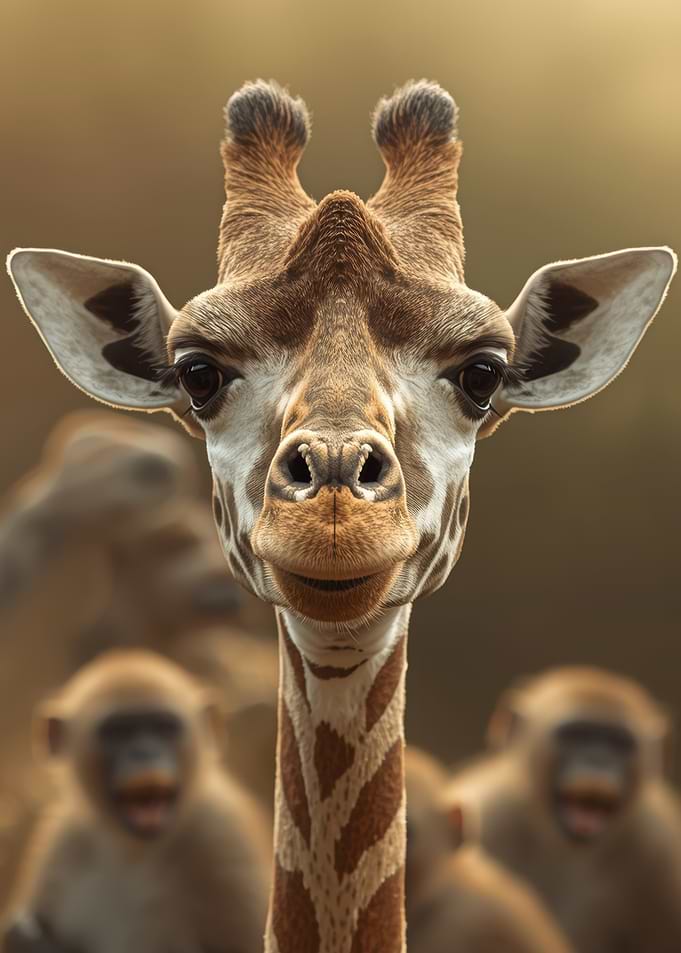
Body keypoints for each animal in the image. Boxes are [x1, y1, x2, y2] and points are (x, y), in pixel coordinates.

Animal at [2, 651, 272, 953]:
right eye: (116, 731)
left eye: (165, 727)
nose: (144, 752)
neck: (131, 850)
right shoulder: (62, 844)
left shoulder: (220, 835)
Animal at [447, 667, 681, 953]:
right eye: (575, 734)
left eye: (620, 743)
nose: (597, 759)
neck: (565, 846)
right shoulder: (490, 815)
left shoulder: (659, 847)